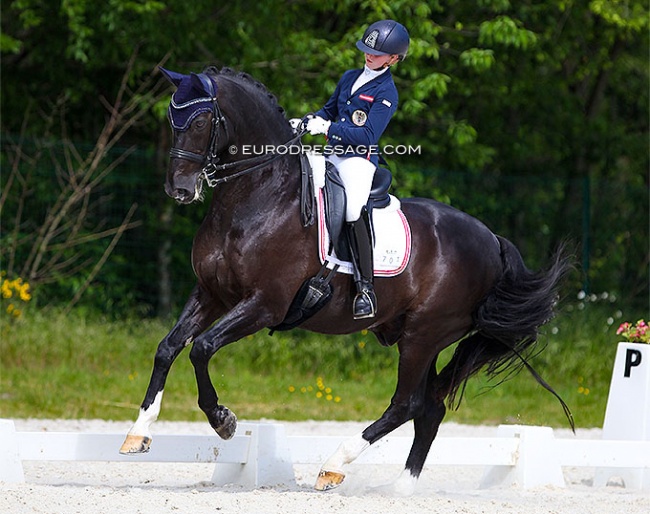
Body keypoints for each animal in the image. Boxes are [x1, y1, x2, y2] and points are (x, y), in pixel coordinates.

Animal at [119, 66, 568, 490]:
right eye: (172, 118)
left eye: (199, 122)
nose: (178, 189)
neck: (258, 197)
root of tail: (492, 240)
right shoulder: (211, 293)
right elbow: (168, 347)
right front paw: (138, 434)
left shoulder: (265, 304)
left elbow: (202, 348)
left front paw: (222, 420)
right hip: (419, 336)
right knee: (429, 409)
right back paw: (398, 489)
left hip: (423, 335)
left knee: (406, 405)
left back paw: (334, 466)